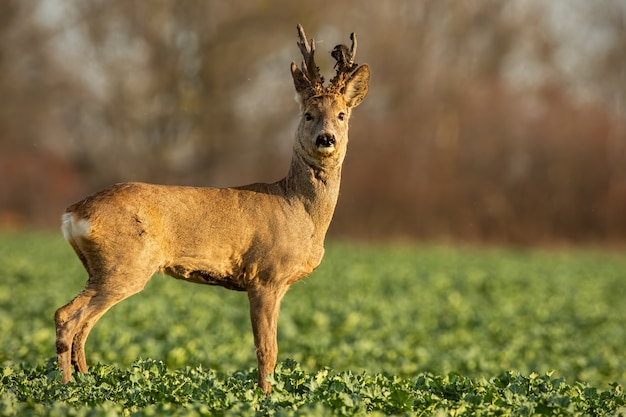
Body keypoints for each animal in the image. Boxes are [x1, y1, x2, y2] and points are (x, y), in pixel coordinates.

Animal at [53, 24, 368, 392]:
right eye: (309, 114)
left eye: (342, 115)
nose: (326, 138)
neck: (298, 209)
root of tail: (73, 213)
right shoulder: (265, 275)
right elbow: (267, 350)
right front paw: (266, 396)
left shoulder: (278, 283)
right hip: (124, 264)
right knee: (66, 316)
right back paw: (64, 389)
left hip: (100, 268)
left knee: (82, 326)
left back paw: (85, 383)